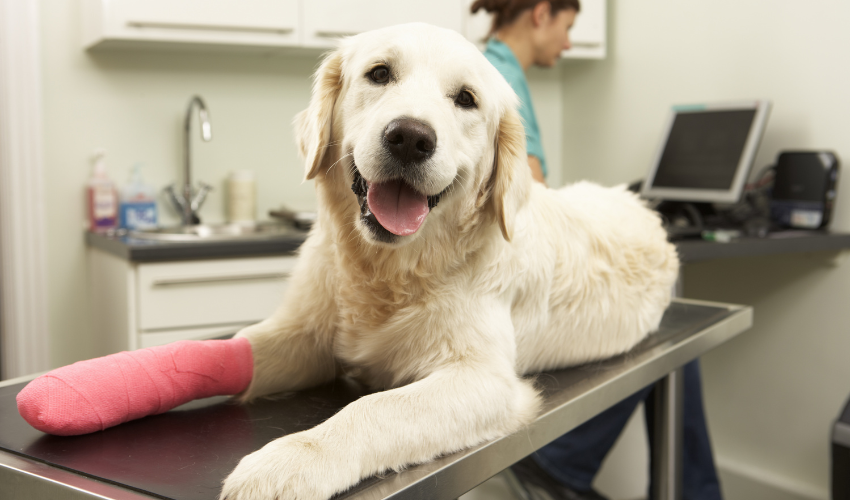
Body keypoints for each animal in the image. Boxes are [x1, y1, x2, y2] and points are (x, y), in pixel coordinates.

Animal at [217, 22, 676, 500]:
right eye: (379, 73)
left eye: (466, 99)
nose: (410, 138)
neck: (389, 269)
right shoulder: (305, 334)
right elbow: (243, 347)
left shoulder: (484, 379)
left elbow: (375, 408)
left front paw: (289, 460)